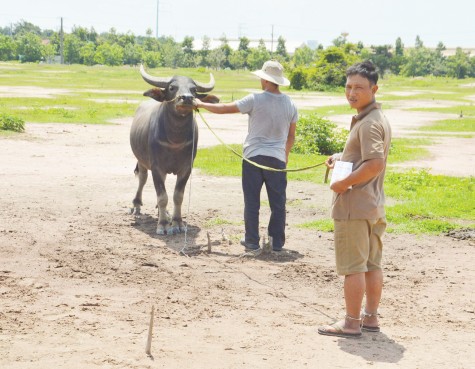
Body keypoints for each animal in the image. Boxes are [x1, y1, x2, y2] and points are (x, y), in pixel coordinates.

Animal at [130, 65, 219, 234]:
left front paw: (177, 222)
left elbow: (178, 196)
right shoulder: (156, 167)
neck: (175, 140)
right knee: (142, 179)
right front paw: (163, 225)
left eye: (194, 89)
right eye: (172, 87)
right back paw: (136, 206)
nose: (187, 98)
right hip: (141, 160)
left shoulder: (186, 168)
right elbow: (162, 196)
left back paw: (163, 212)